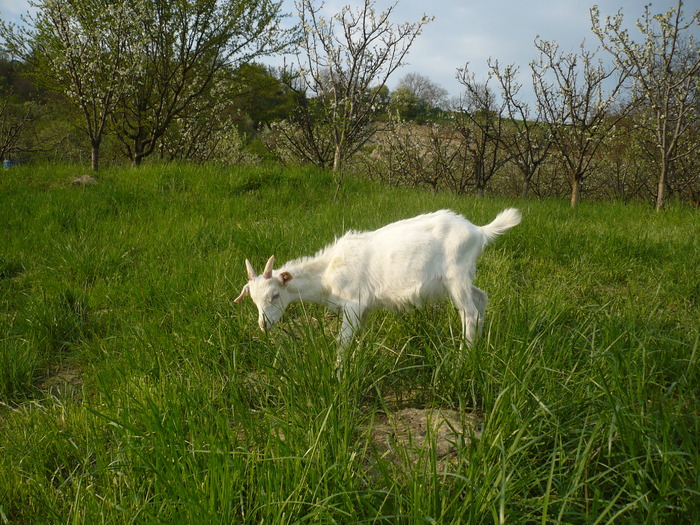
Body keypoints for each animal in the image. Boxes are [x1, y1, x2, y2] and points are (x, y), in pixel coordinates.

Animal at [235, 207, 520, 362]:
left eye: (274, 295)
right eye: (253, 300)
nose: (263, 325)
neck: (328, 272)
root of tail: (480, 231)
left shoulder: (353, 303)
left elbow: (343, 341)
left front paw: (338, 375)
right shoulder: (364, 309)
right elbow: (358, 336)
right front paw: (357, 361)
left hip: (455, 276)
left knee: (469, 313)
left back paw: (463, 358)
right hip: (463, 277)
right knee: (481, 297)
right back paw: (479, 346)